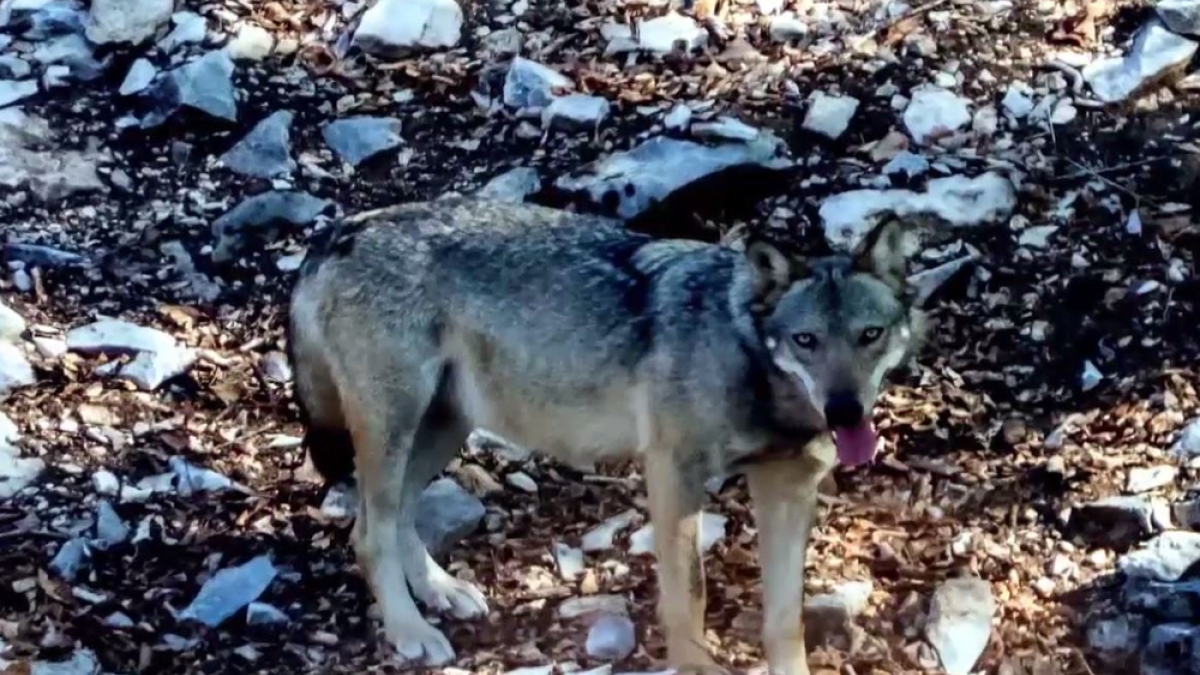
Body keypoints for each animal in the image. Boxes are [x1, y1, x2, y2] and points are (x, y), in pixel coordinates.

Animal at [288, 198, 926, 672]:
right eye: (806, 341)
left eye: (869, 335)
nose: (844, 412)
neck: (752, 362)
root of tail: (340, 230)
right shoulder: (673, 474)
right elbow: (689, 599)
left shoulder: (788, 488)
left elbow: (784, 618)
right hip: (396, 428)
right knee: (368, 532)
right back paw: (410, 629)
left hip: (445, 427)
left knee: (393, 516)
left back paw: (441, 591)